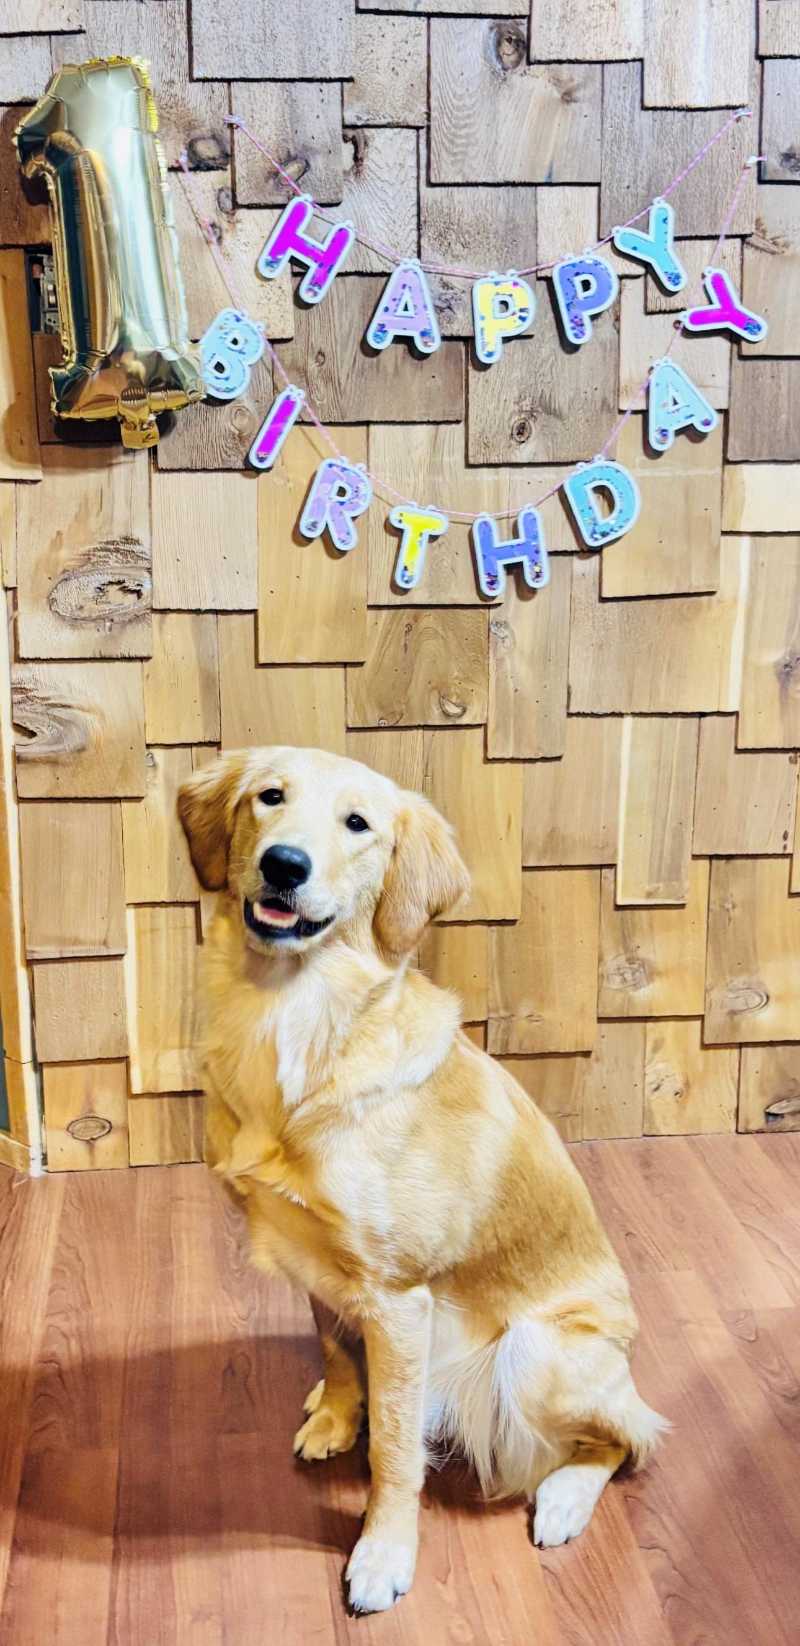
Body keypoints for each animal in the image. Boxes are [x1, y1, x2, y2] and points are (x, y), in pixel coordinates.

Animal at [178, 745, 665, 1615]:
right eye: (270, 797)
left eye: (358, 824)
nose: (285, 865)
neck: (297, 1023)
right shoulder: (324, 1269)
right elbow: (337, 1354)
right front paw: (338, 1416)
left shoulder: (399, 1300)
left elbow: (397, 1456)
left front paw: (383, 1553)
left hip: (536, 1353)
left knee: (628, 1438)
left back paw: (565, 1499)